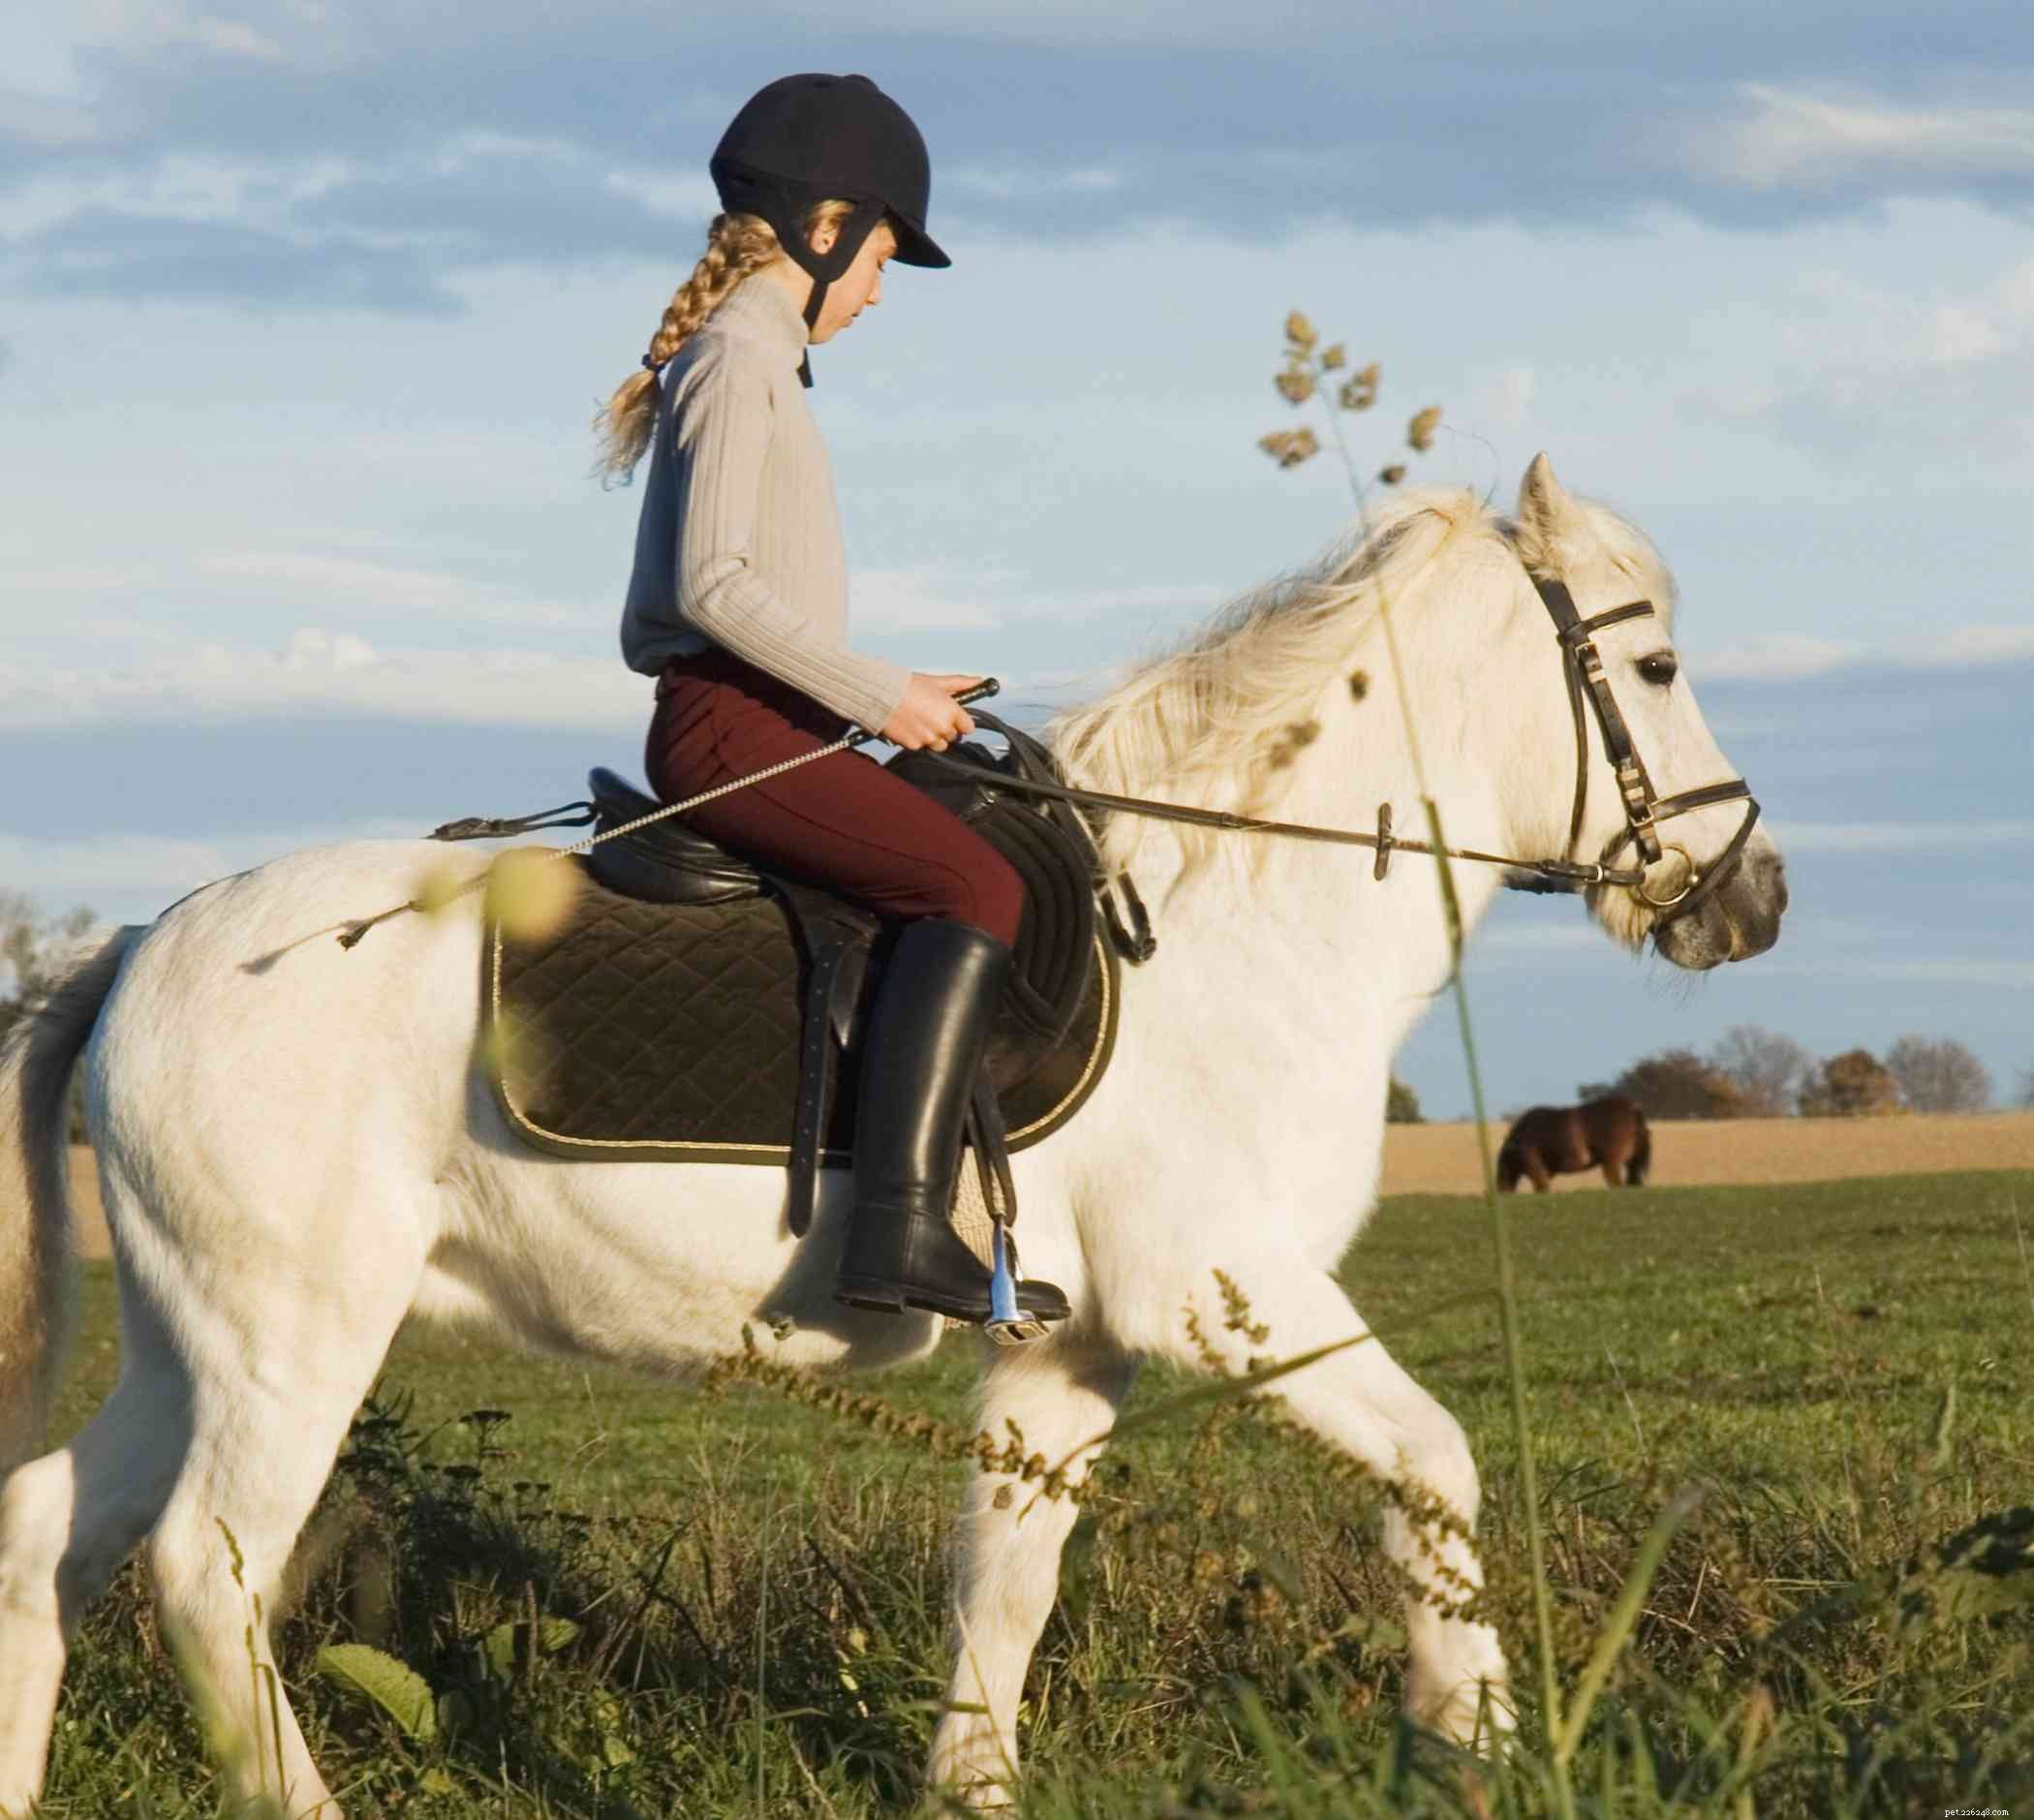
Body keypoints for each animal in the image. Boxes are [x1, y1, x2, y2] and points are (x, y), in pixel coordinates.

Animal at [1496, 1095, 1652, 1192]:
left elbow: (1542, 1188)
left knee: (1616, 1183)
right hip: (1630, 1163)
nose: (1502, 1190)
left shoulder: (1537, 1171)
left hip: (1611, 1163)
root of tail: (1632, 1109)